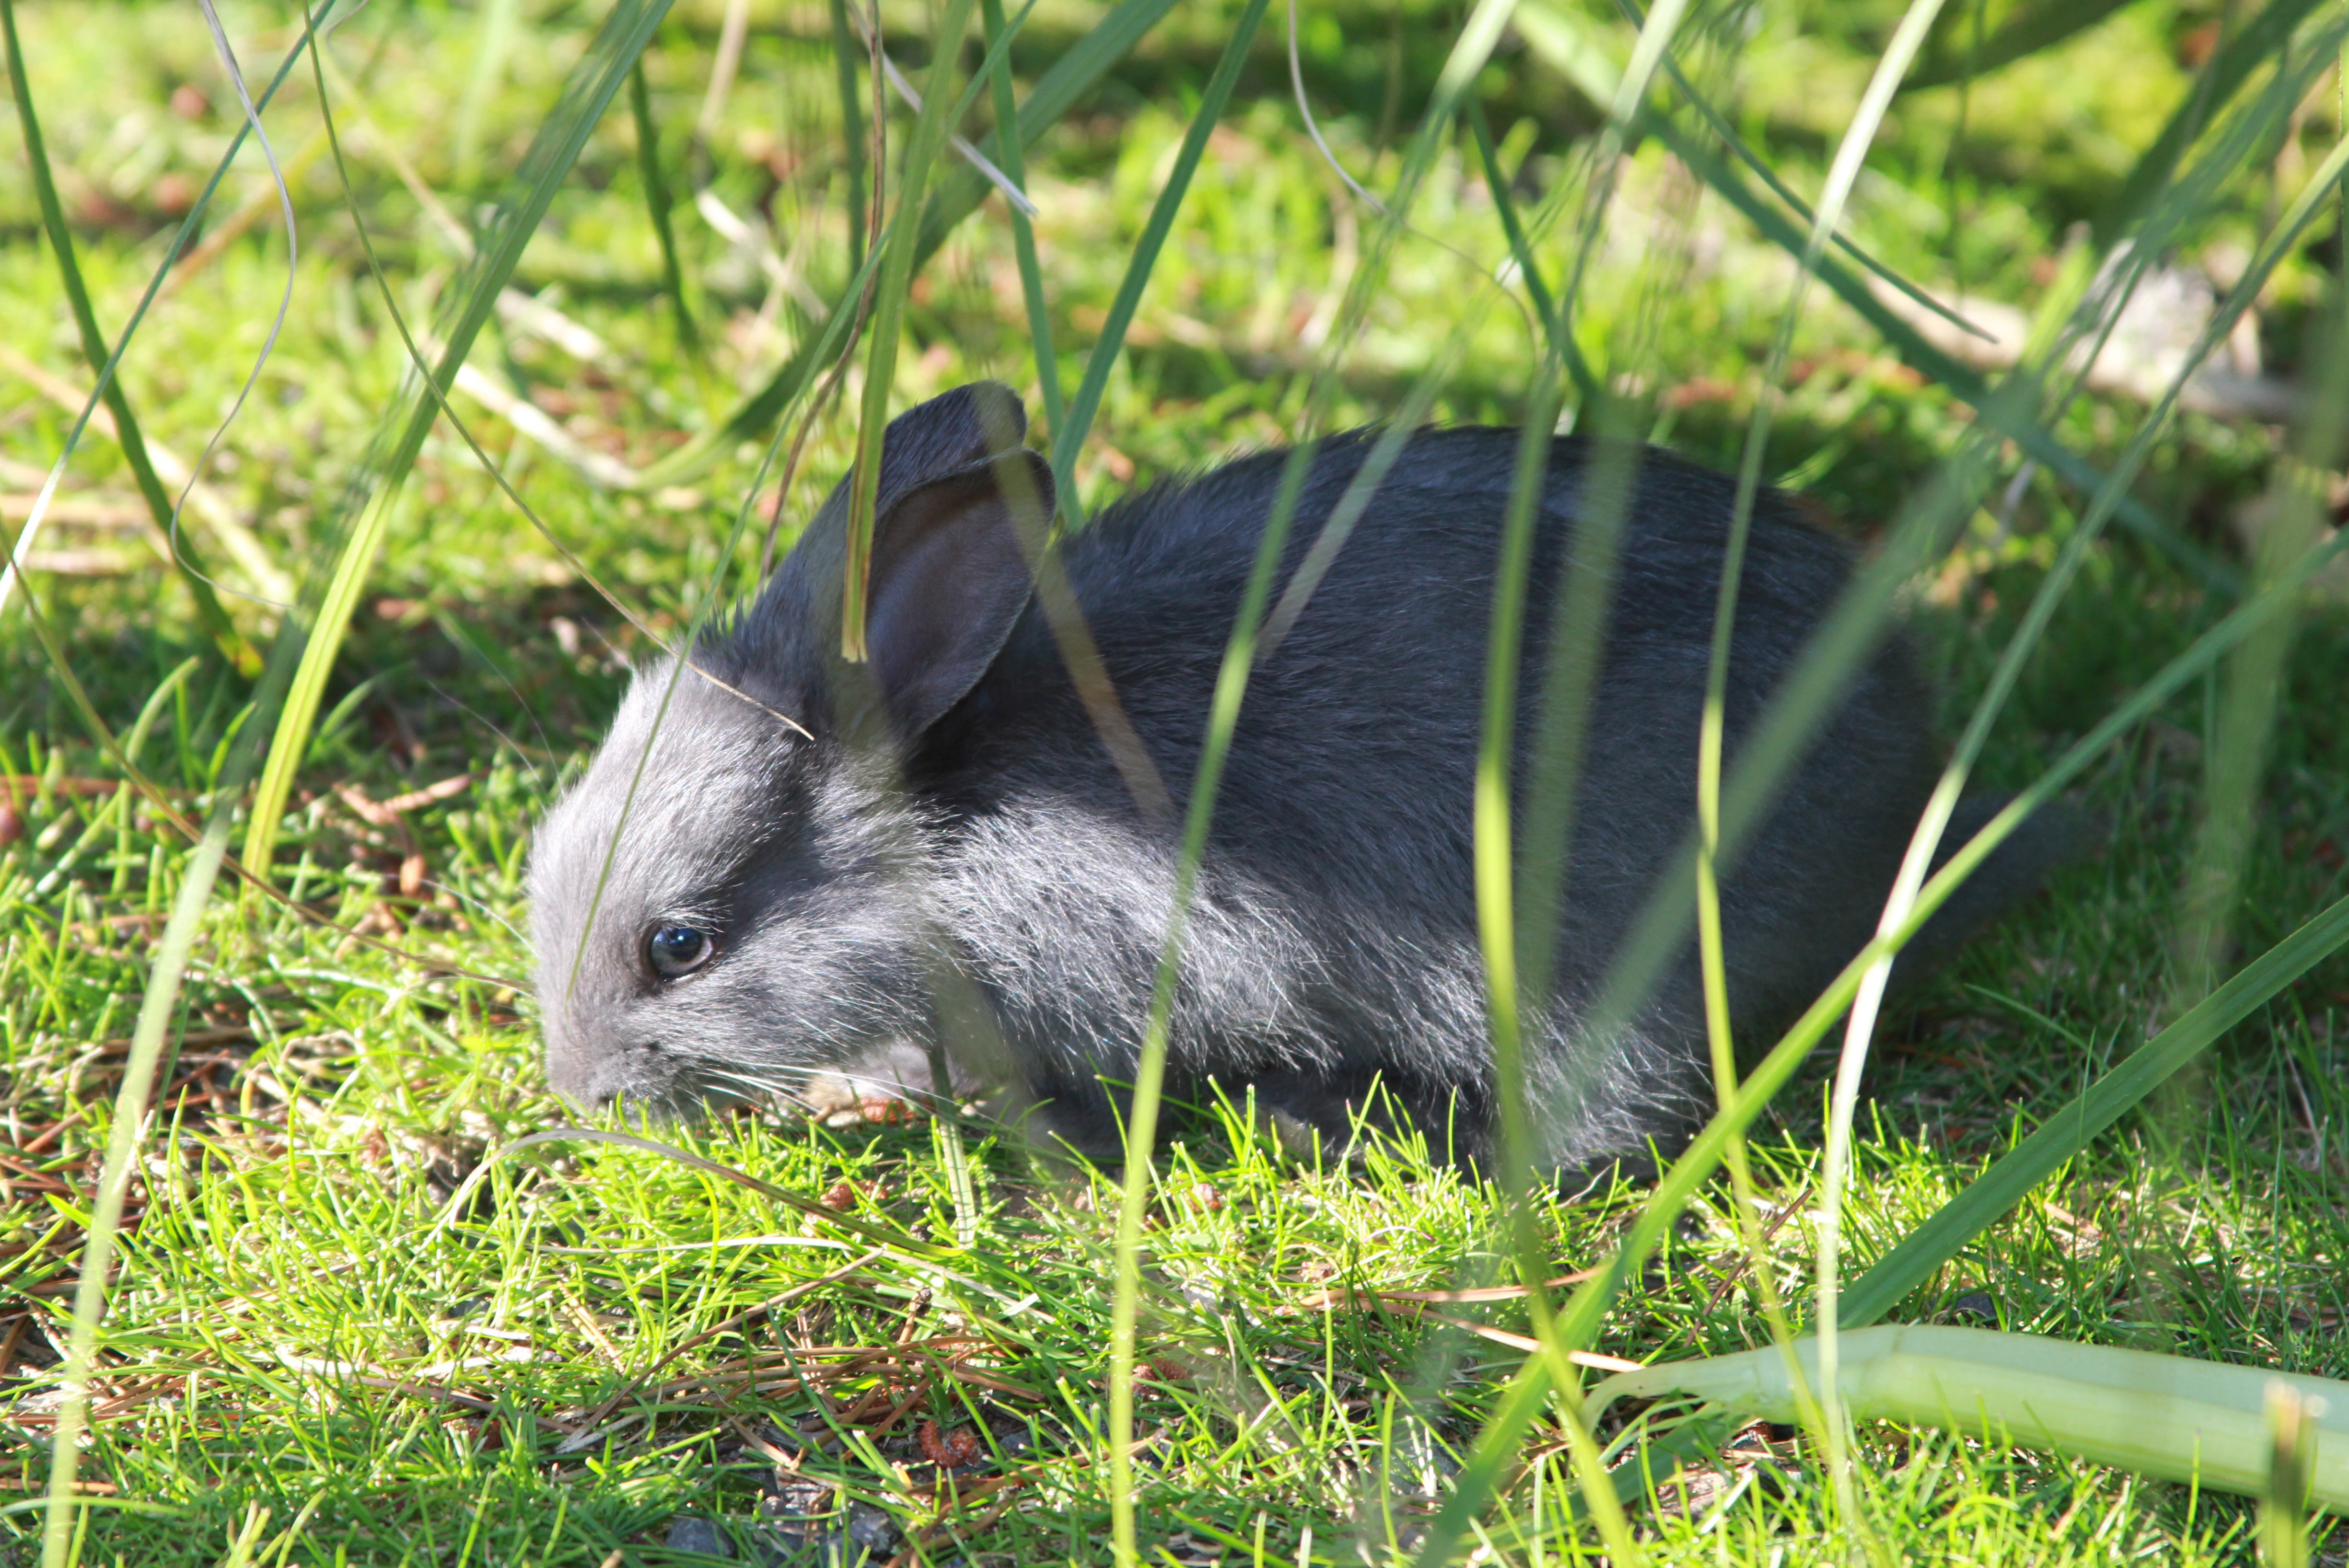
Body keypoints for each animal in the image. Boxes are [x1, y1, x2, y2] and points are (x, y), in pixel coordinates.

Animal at [528, 381, 2082, 1177]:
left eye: (682, 944)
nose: (580, 1091)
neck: (952, 834)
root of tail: (1910, 788)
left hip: (1590, 967)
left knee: (1619, 1120)